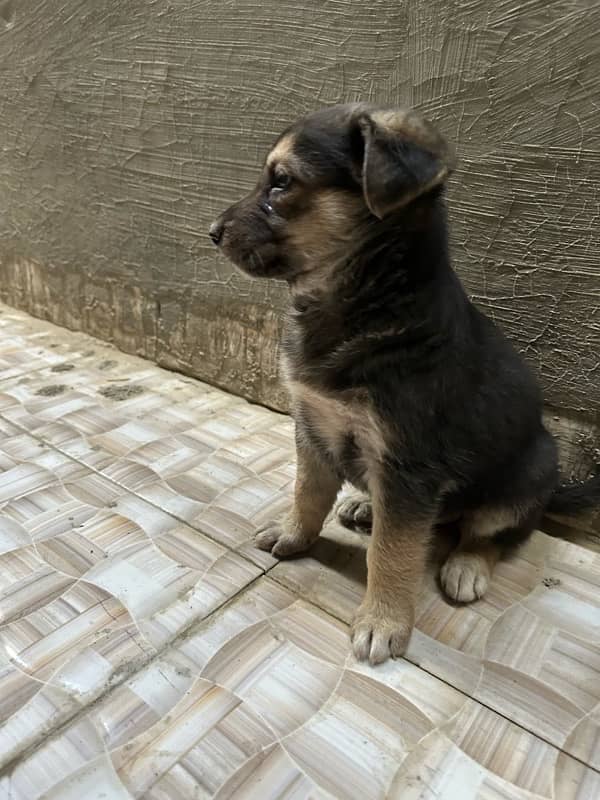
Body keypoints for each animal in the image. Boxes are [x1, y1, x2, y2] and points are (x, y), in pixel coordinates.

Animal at [210, 103, 600, 664]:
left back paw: (465, 565)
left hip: (526, 475)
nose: (211, 232)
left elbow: (392, 553)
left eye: (281, 181)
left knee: (491, 534)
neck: (366, 302)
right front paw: (293, 533)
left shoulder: (408, 464)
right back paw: (365, 506)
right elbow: (308, 491)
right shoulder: (313, 424)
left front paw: (382, 620)